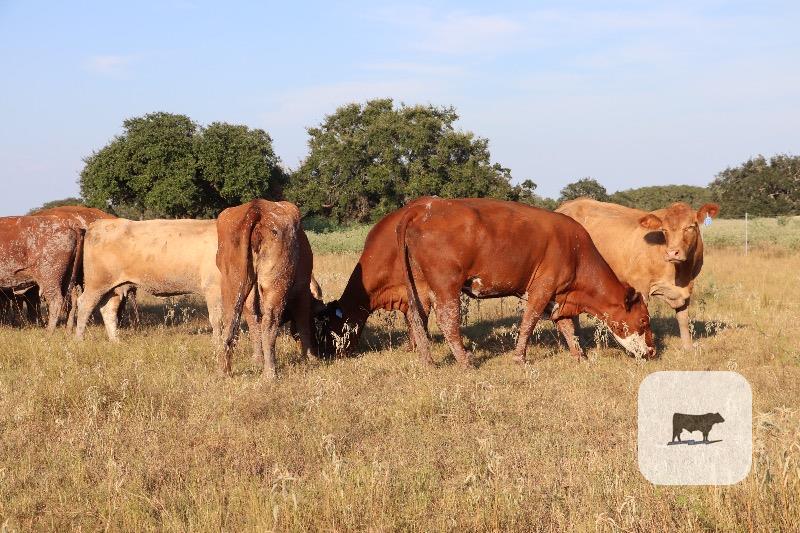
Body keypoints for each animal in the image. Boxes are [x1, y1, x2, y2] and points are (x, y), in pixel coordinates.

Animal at [216, 200, 318, 379]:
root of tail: (257, 207)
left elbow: (253, 322)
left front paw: (257, 360)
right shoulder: (302, 289)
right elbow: (303, 323)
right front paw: (310, 358)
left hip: (233, 283)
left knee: (230, 324)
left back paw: (224, 371)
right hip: (276, 284)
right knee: (269, 324)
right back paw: (270, 374)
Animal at [316, 197, 655, 366]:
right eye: (644, 319)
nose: (653, 352)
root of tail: (420, 210)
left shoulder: (558, 295)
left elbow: (568, 327)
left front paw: (580, 356)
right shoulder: (542, 288)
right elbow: (529, 322)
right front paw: (520, 358)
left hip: (422, 287)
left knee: (416, 317)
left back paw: (428, 360)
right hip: (446, 285)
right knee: (447, 320)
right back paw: (465, 360)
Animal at [556, 199, 719, 350]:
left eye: (690, 226)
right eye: (664, 230)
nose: (672, 252)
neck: (680, 274)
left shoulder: (686, 289)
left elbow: (683, 319)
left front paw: (688, 347)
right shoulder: (640, 286)